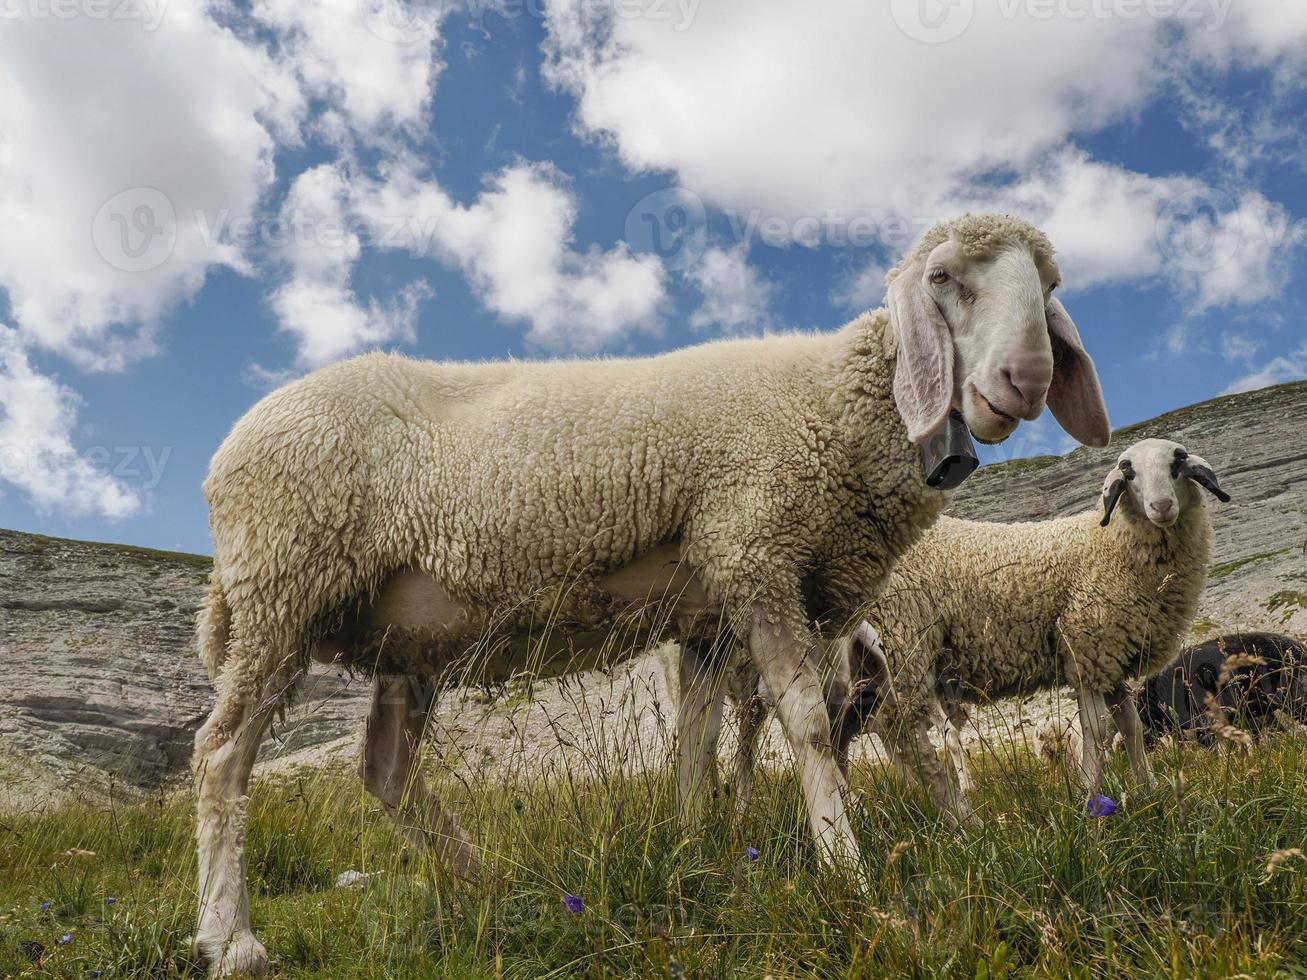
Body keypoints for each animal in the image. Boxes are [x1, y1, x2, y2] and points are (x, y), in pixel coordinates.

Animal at [189, 212, 1108, 977]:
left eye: (1049, 289)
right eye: (943, 278)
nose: (1025, 378)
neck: (836, 404)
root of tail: (226, 449)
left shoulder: (707, 614)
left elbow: (695, 750)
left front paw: (700, 866)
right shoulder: (755, 554)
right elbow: (806, 725)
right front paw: (846, 873)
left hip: (403, 634)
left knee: (384, 767)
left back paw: (491, 883)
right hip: (283, 586)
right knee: (222, 755)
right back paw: (231, 937)